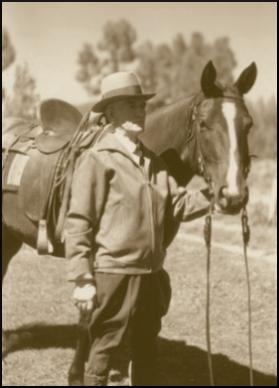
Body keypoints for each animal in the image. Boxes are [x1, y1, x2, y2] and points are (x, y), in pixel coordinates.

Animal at [2, 60, 258, 384]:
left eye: (248, 125)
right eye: (204, 124)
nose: (233, 196)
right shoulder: (93, 257)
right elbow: (89, 317)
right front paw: (76, 374)